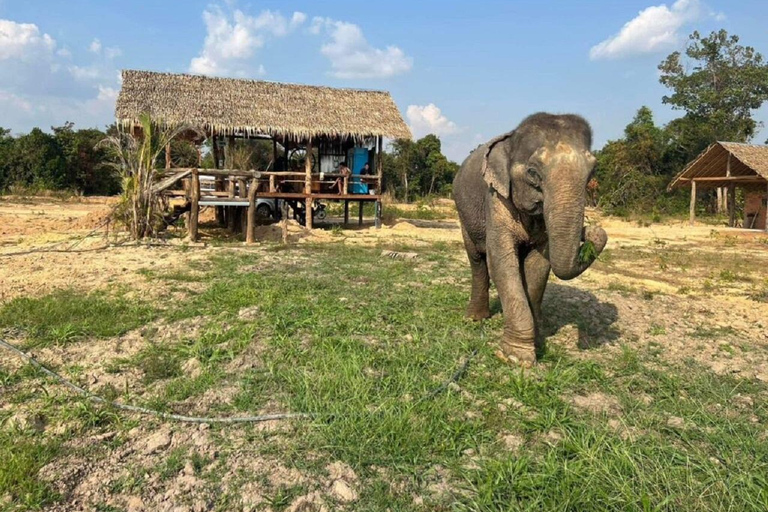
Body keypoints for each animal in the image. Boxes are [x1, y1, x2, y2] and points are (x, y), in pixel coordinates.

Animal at [456, 114, 608, 366]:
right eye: (533, 173)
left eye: (593, 171)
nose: (591, 229)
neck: (511, 141)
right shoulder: (495, 197)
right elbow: (501, 262)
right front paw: (516, 357)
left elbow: (537, 266)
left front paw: (538, 339)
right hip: (462, 214)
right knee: (478, 260)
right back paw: (475, 319)